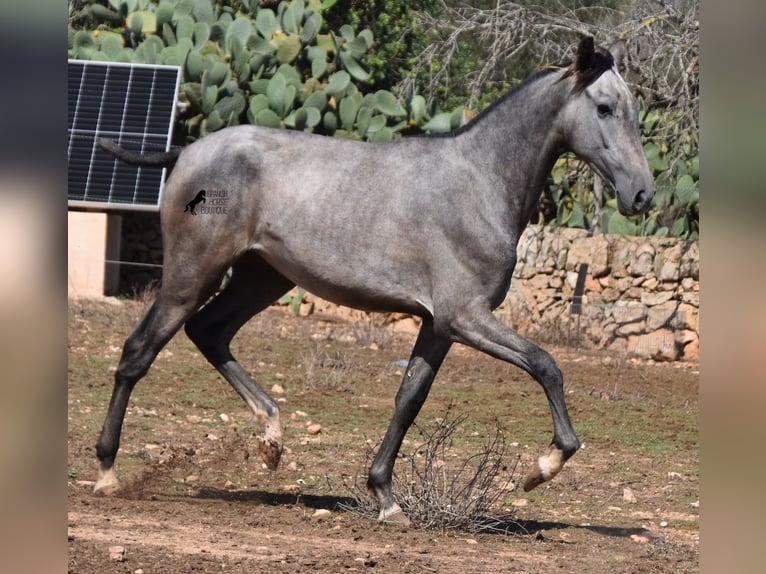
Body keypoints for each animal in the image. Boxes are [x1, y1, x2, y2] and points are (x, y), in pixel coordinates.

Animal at [96, 37, 656, 532]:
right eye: (605, 108)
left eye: (633, 110)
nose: (643, 195)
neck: (479, 181)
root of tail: (185, 153)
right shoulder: (466, 316)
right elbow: (547, 366)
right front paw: (541, 470)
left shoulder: (439, 326)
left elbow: (409, 400)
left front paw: (386, 499)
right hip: (191, 274)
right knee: (139, 351)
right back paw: (107, 472)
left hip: (261, 278)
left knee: (210, 333)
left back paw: (272, 439)